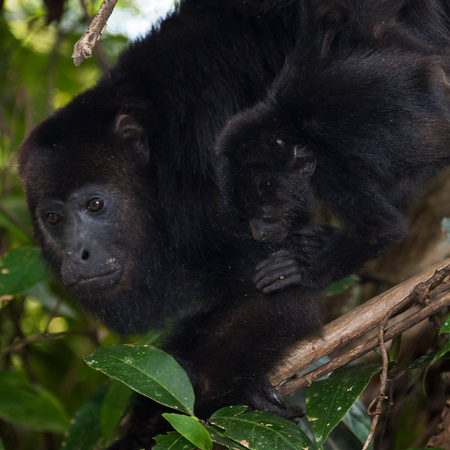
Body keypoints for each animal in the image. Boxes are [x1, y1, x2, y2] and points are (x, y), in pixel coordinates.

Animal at [17, 1, 320, 448]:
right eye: (53, 219)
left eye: (95, 204)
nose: (80, 254)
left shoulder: (204, 174)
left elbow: (280, 290)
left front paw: (146, 428)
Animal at [216, 0, 450, 294]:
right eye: (244, 218)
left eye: (265, 216)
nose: (259, 235)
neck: (294, 129)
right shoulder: (294, 78)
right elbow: (326, 15)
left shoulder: (331, 174)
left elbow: (383, 227)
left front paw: (303, 273)